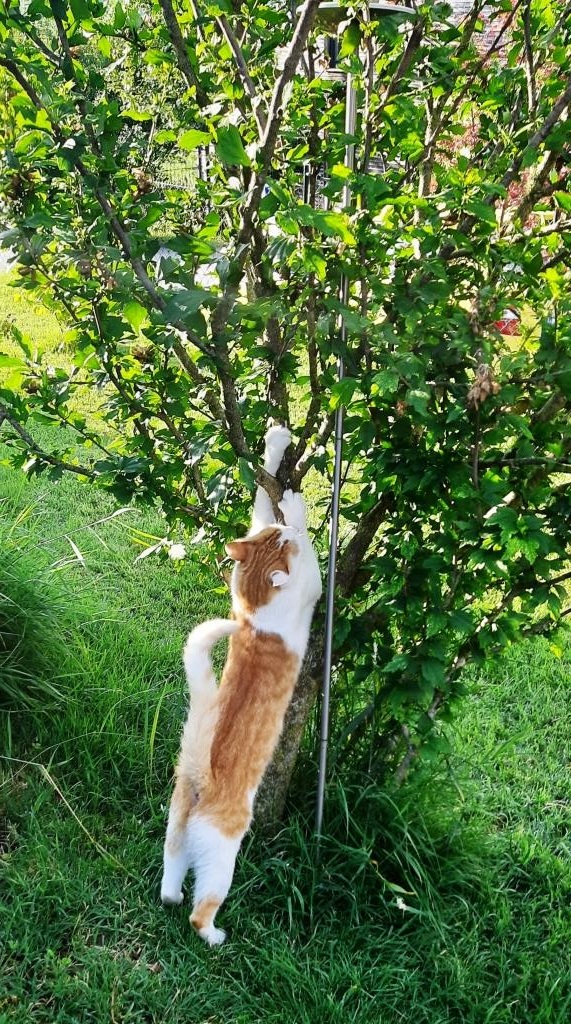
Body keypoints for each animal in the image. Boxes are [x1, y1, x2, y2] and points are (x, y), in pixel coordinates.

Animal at [160, 425, 322, 945]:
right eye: (282, 541)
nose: (287, 533)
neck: (252, 614)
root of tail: (199, 778)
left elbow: (260, 495)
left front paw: (275, 447)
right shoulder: (313, 584)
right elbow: (314, 552)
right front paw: (296, 506)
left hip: (174, 836)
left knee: (169, 885)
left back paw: (172, 896)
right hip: (223, 857)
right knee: (199, 907)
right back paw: (213, 935)